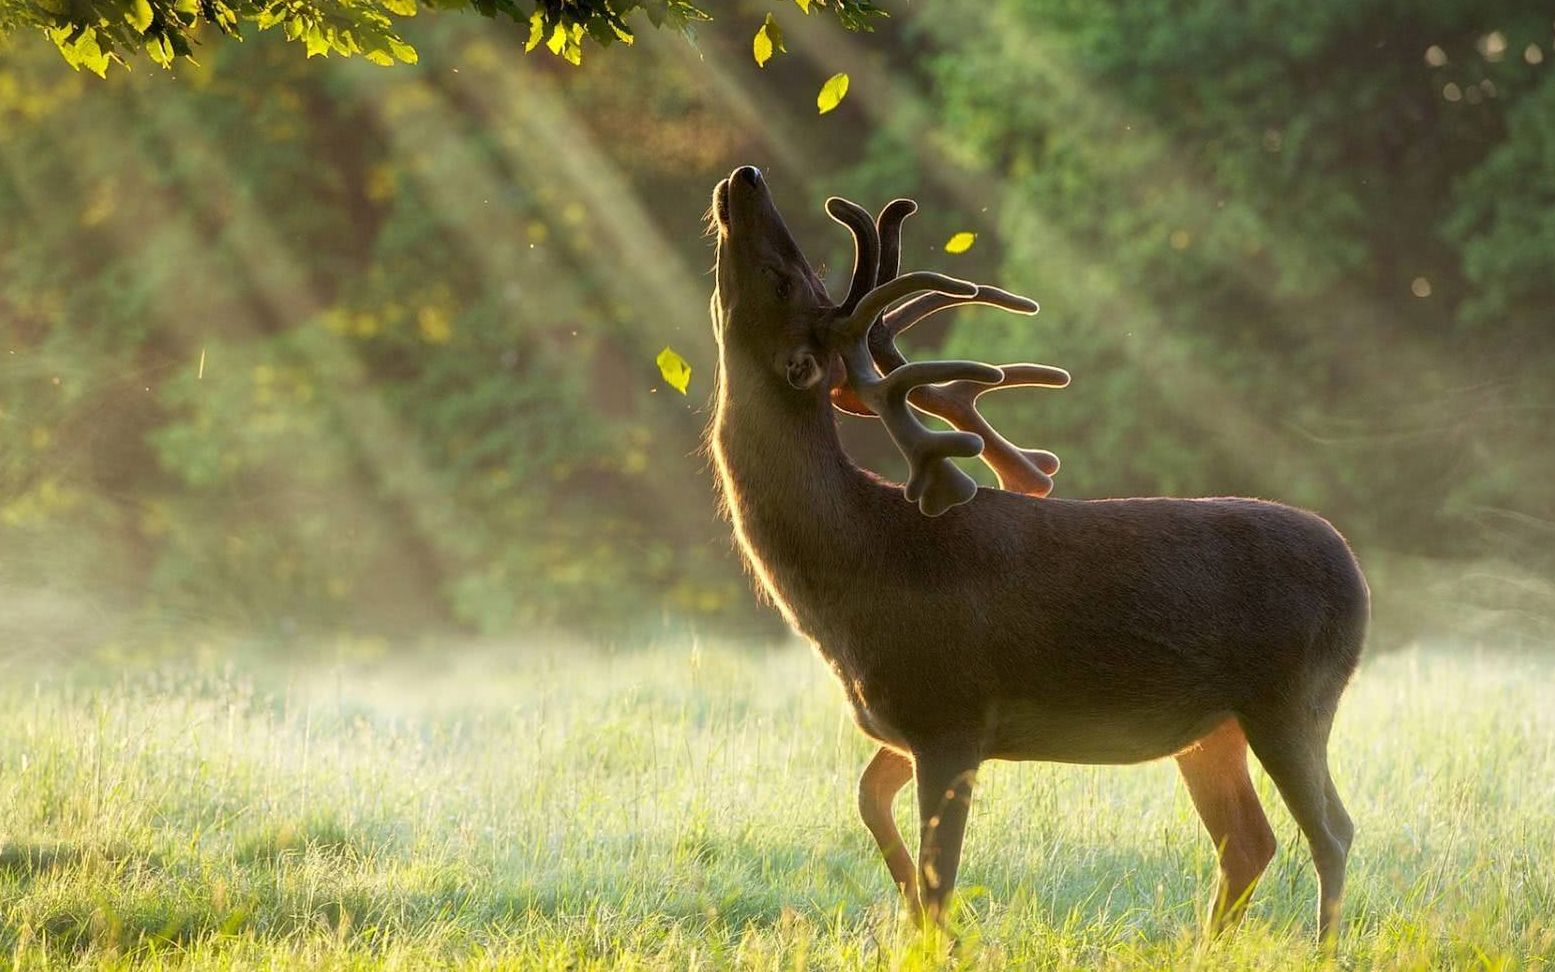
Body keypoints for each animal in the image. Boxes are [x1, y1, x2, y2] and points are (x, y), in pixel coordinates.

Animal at [712, 164, 1368, 939]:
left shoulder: (950, 711)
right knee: (1248, 839)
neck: (854, 573)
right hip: (1213, 728)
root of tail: (1356, 575)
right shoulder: (909, 722)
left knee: (1330, 830)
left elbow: (940, 875)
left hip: (1293, 695)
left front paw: (935, 933)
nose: (746, 177)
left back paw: (1321, 946)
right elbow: (869, 800)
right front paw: (907, 911)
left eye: (784, 279)